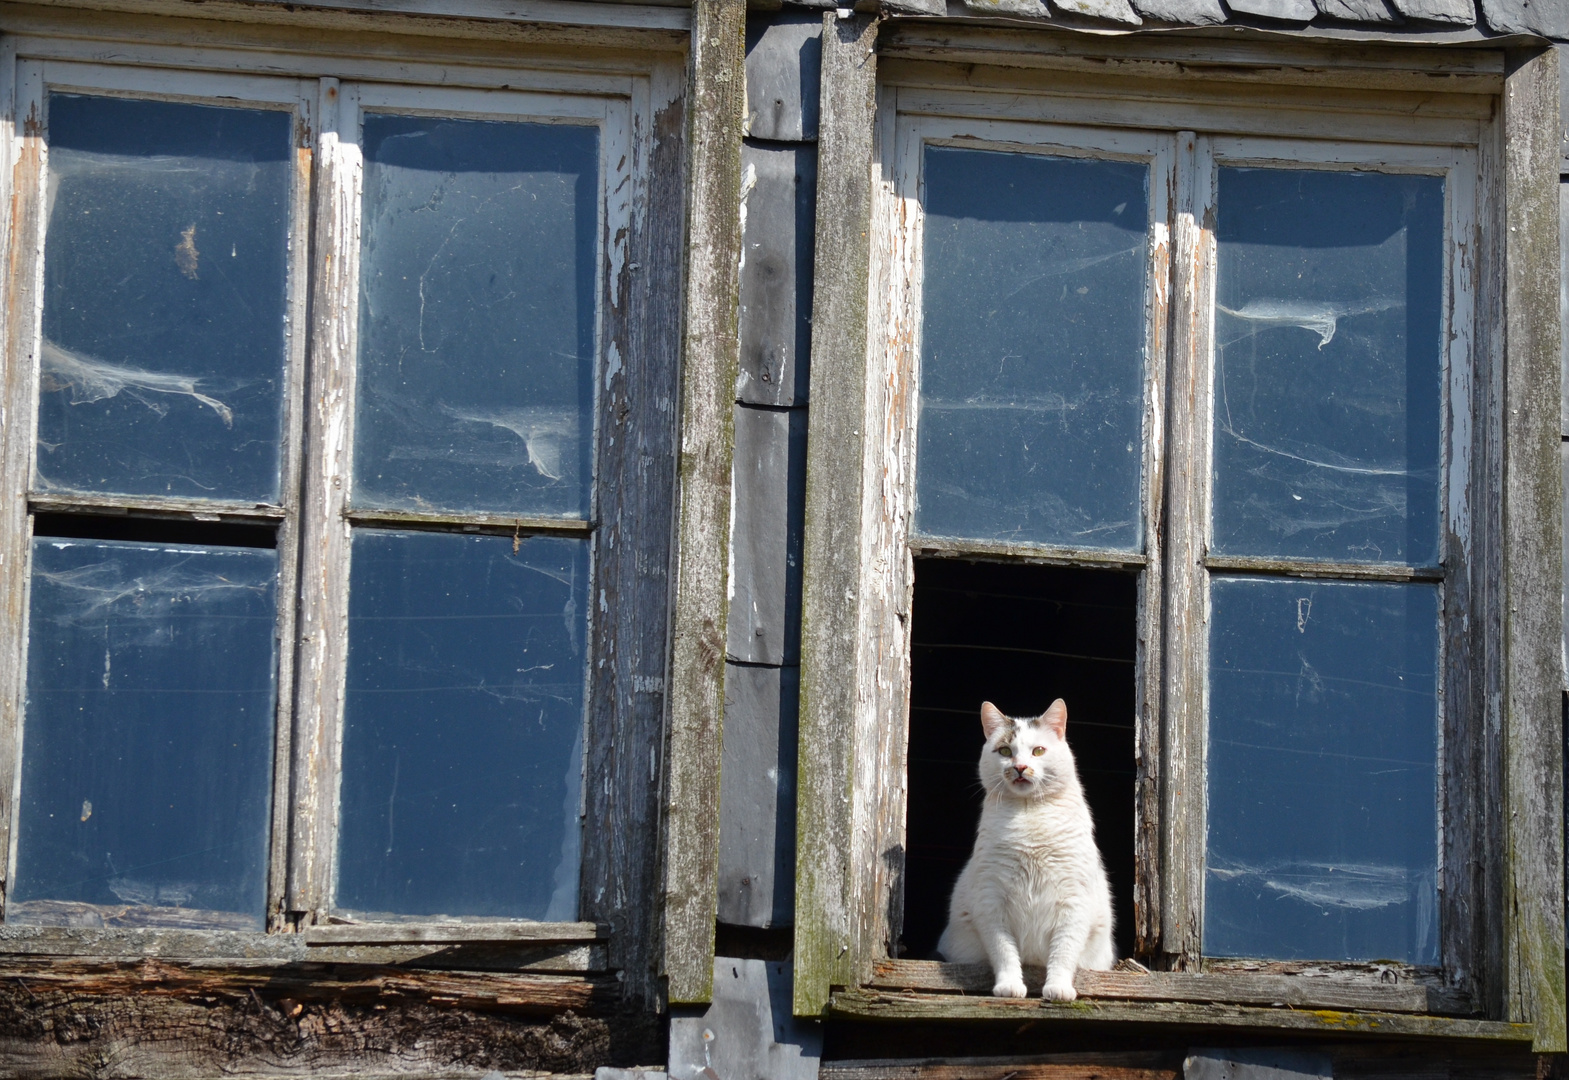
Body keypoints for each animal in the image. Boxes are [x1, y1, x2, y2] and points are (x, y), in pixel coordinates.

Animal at [935, 700, 1110, 1004]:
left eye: (1038, 750)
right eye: (1005, 751)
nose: (1020, 767)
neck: (1029, 815)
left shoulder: (1074, 901)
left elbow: (1063, 951)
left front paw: (1058, 989)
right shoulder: (991, 900)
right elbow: (1004, 951)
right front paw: (1009, 987)